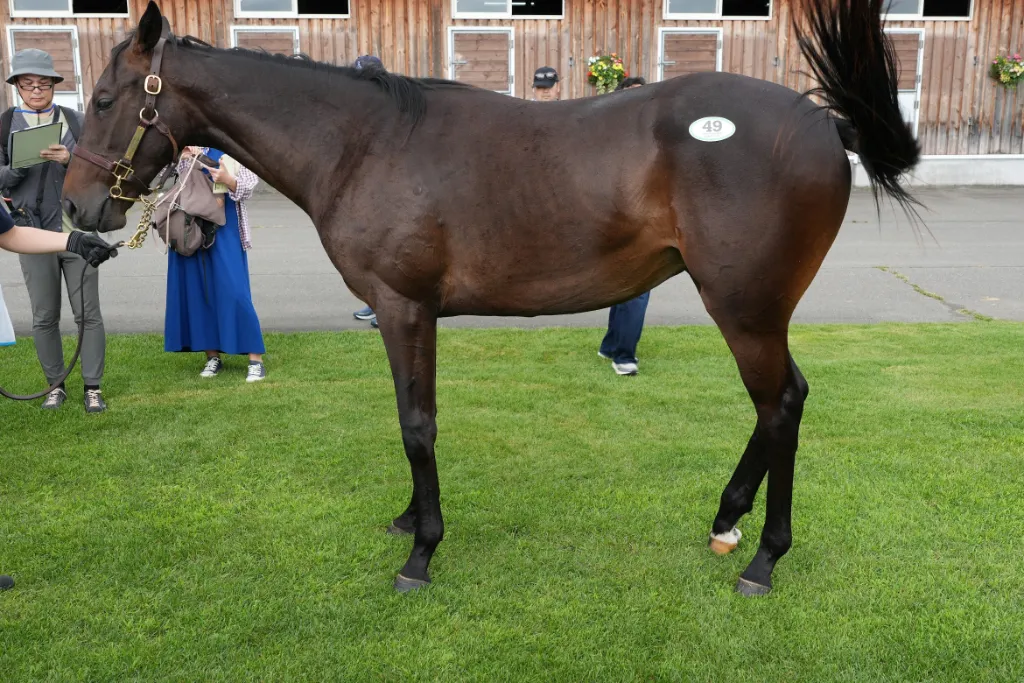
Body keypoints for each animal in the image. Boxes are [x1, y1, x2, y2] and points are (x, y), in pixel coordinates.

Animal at [62, 0, 921, 596]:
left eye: (104, 99)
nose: (75, 206)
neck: (363, 144)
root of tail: (824, 126)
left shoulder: (403, 306)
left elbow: (416, 424)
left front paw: (422, 551)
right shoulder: (412, 313)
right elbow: (412, 418)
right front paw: (411, 519)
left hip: (745, 309)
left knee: (780, 406)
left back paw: (764, 557)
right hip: (755, 312)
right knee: (783, 404)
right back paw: (726, 520)